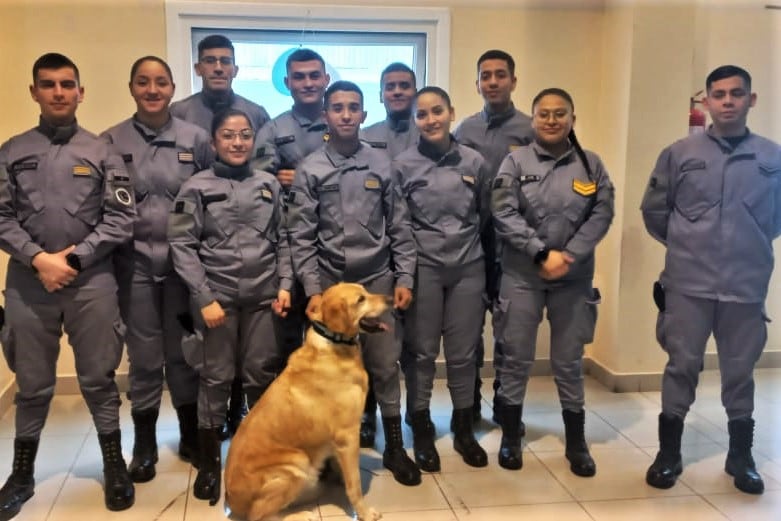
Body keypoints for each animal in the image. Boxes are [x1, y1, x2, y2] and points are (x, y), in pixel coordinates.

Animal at [224, 284, 386, 520]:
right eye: (360, 299)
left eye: (366, 291)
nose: (390, 299)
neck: (334, 343)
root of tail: (230, 500)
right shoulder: (347, 435)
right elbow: (354, 484)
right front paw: (363, 512)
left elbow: (344, 471)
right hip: (297, 462)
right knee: (261, 515)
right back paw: (300, 514)